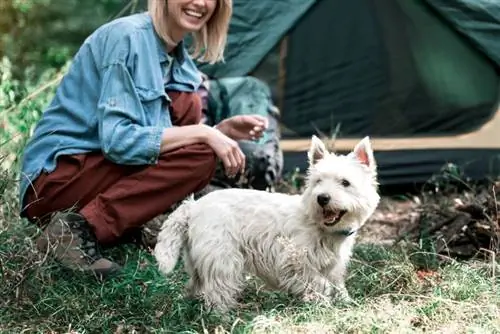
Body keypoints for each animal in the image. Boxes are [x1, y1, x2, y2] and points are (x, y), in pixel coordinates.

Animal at [154, 134, 380, 312]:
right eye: (318, 181)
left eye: (345, 183)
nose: (322, 198)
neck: (322, 228)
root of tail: (193, 207)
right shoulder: (294, 261)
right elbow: (319, 283)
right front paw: (323, 303)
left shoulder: (333, 266)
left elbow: (336, 283)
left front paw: (346, 302)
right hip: (223, 257)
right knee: (218, 289)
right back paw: (222, 316)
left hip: (198, 260)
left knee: (195, 285)